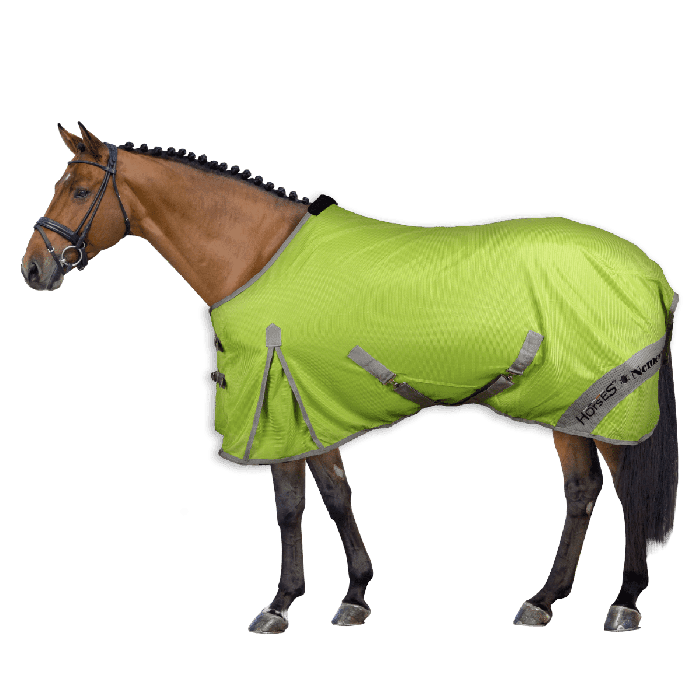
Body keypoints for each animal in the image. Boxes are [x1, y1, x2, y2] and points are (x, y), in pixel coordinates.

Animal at [21, 122, 680, 634]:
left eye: (80, 190)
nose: (34, 267)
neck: (258, 254)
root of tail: (649, 271)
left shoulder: (278, 397)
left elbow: (290, 505)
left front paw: (279, 605)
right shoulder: (308, 404)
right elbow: (332, 496)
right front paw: (352, 596)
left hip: (603, 405)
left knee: (626, 494)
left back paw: (623, 603)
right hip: (571, 409)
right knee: (582, 493)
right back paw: (542, 601)